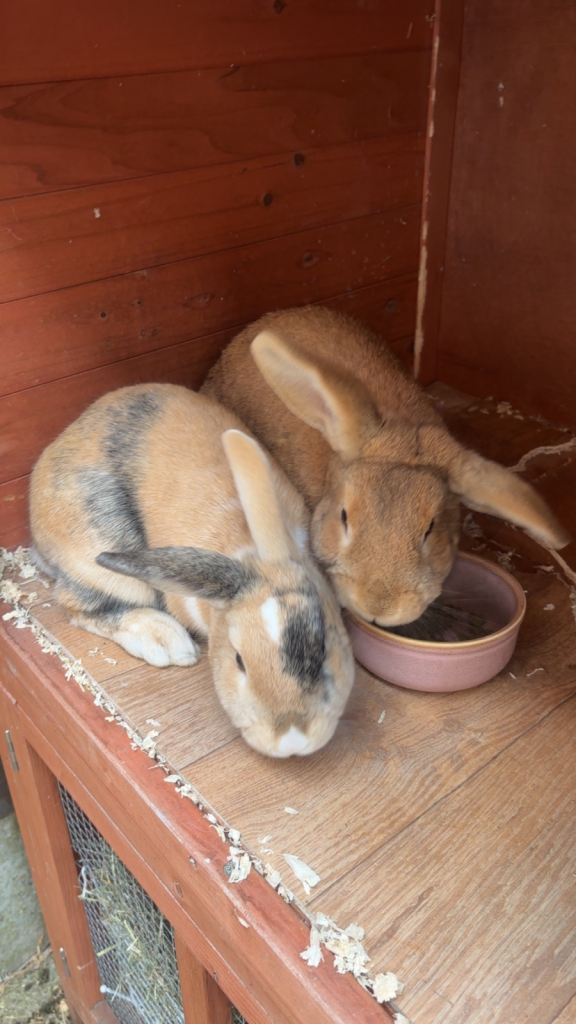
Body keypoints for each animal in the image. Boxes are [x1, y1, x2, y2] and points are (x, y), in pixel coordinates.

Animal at [29, 384, 355, 758]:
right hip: (104, 562)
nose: (292, 742)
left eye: (325, 648)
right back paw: (166, 640)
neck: (253, 555)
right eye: (239, 660)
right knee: (79, 607)